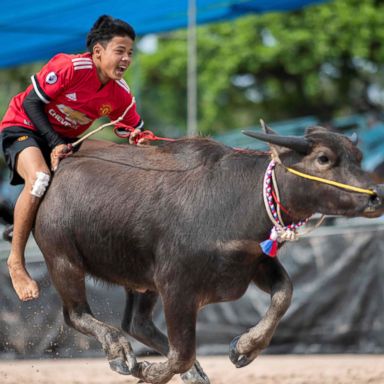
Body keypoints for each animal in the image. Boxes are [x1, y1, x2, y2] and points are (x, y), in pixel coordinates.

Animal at [32, 124, 384, 382]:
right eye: (324, 158)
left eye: (358, 156)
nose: (375, 195)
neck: (237, 200)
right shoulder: (176, 287)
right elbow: (182, 352)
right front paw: (151, 371)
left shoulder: (254, 263)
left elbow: (285, 295)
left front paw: (244, 347)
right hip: (63, 259)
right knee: (76, 314)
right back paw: (121, 354)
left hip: (140, 279)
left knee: (136, 322)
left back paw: (189, 370)